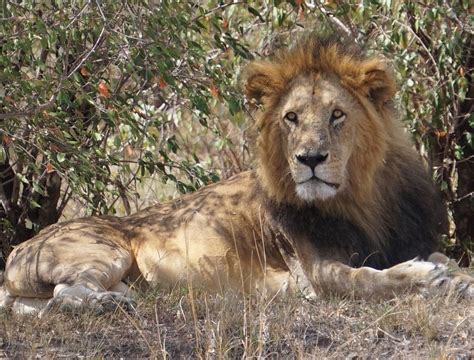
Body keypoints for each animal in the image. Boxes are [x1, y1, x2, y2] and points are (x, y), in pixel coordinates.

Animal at [0, 35, 474, 314]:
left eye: (337, 115)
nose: (310, 158)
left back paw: (125, 297)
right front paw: (428, 279)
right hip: (101, 250)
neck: (361, 200)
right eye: (291, 118)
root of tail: (19, 249)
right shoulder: (316, 275)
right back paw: (110, 304)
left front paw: (456, 277)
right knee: (65, 294)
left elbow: (446, 260)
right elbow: (371, 280)